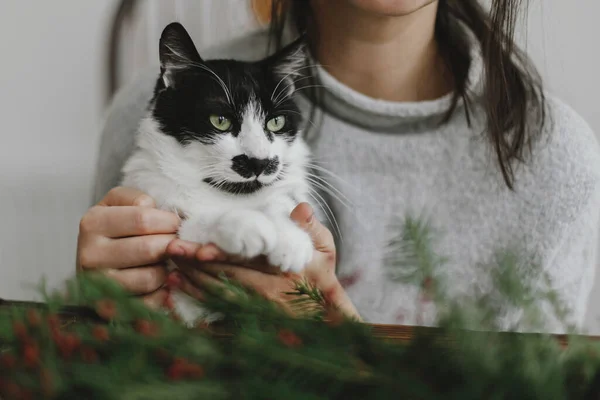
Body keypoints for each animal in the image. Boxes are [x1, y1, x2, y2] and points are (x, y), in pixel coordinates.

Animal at [120, 22, 314, 318]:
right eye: (220, 121)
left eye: (276, 122)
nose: (258, 162)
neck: (221, 192)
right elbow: (195, 224)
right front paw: (247, 225)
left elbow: (278, 203)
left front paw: (291, 239)